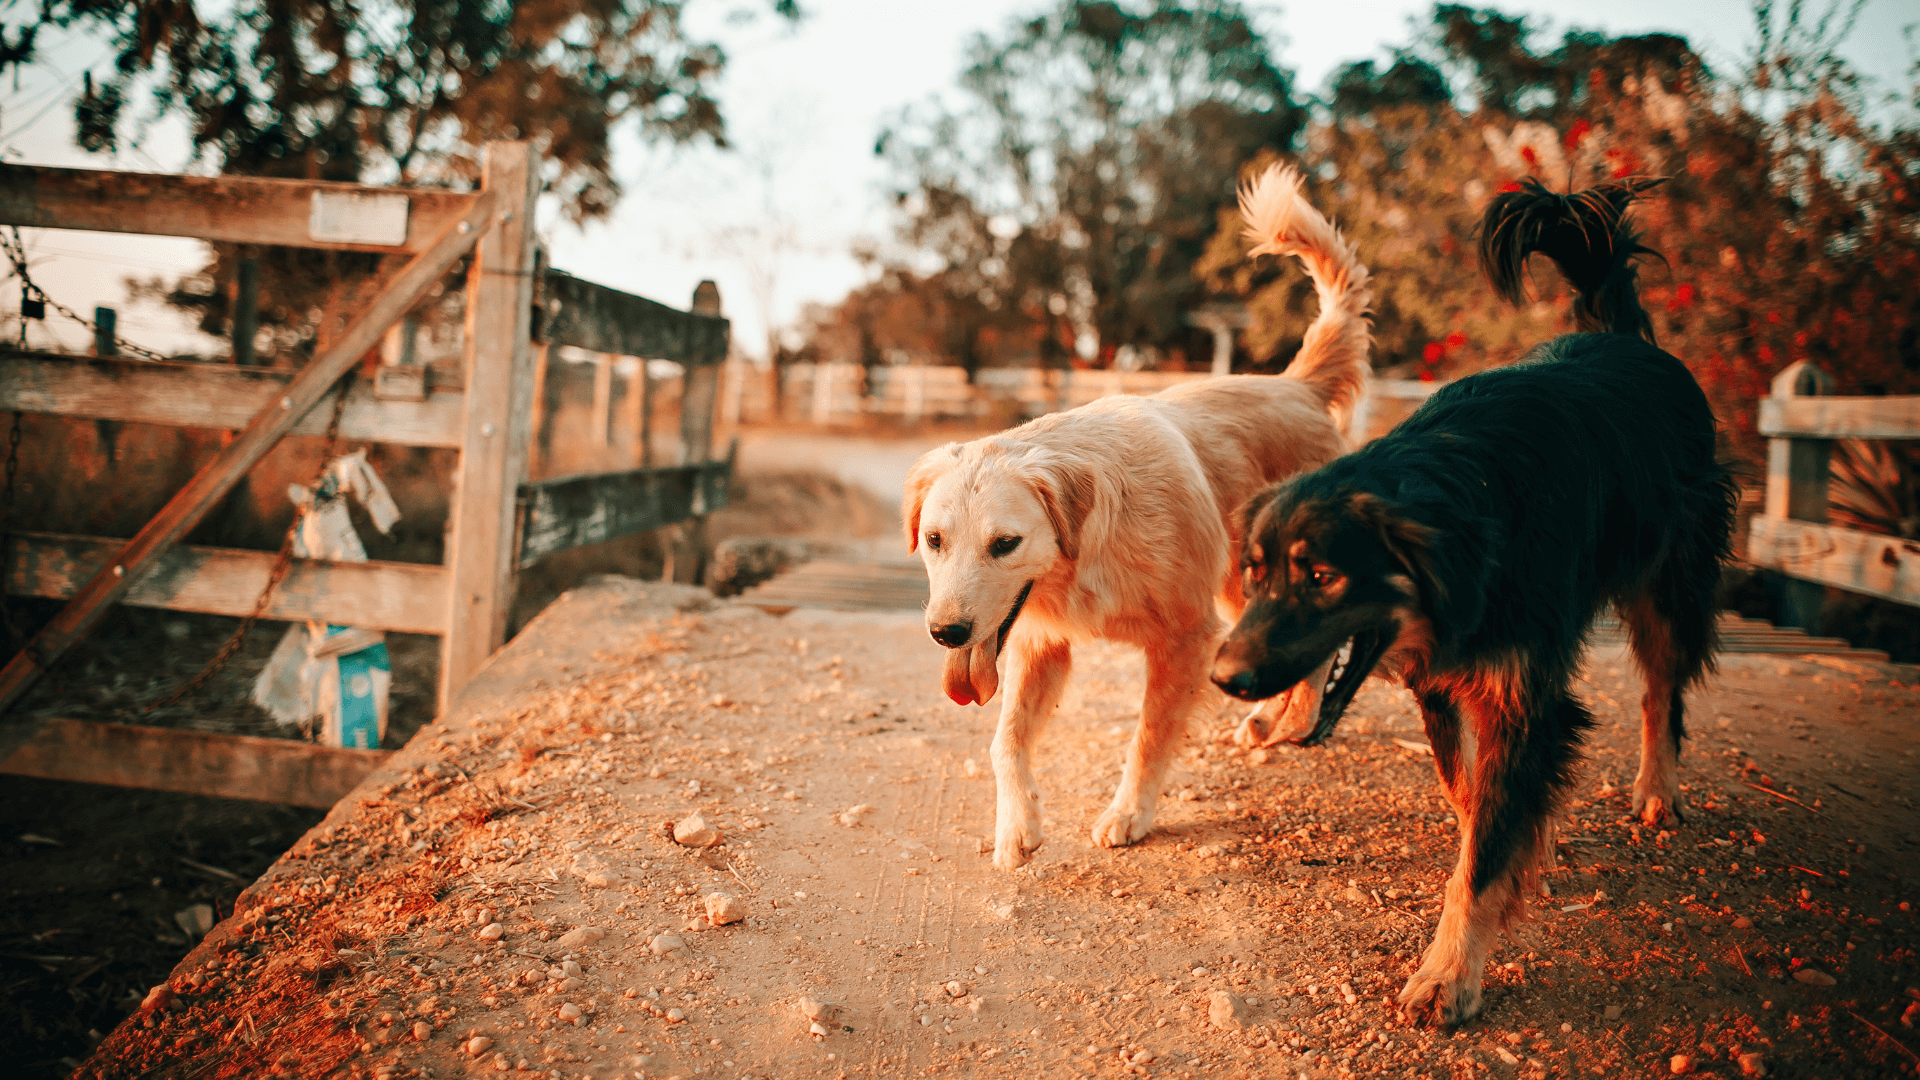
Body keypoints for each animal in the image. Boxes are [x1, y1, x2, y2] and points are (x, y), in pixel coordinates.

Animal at [902, 161, 1374, 864]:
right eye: (934, 540)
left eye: (1005, 544)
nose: (947, 634)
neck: (1091, 551)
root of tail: (1298, 385)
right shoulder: (1042, 643)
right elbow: (1004, 740)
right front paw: (1017, 826)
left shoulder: (1185, 637)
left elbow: (1149, 738)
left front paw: (1130, 813)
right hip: (1237, 584)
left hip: (1255, 580)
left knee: (1316, 649)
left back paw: (1289, 719)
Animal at [1213, 178, 1743, 1022]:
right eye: (1256, 573)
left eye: (1323, 577)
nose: (1225, 680)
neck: (1466, 504)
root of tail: (1625, 339)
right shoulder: (1443, 682)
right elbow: (1473, 803)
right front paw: (1517, 850)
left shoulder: (1525, 695)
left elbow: (1488, 846)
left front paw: (1450, 972)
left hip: (1671, 583)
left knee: (1663, 691)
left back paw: (1658, 789)